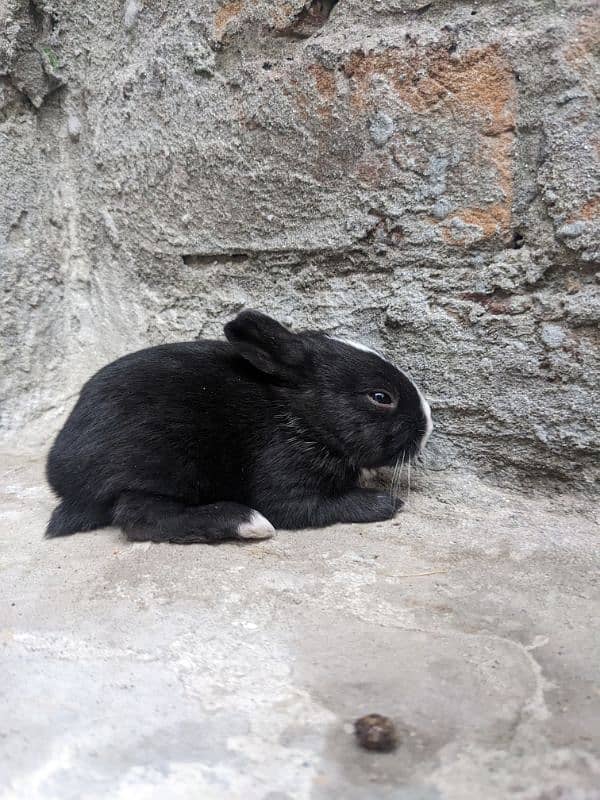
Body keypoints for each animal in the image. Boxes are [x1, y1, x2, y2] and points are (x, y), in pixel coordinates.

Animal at [45, 310, 432, 544]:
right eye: (380, 397)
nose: (428, 426)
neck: (301, 417)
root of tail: (64, 480)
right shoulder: (284, 483)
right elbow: (319, 506)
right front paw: (385, 503)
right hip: (162, 468)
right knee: (140, 517)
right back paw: (247, 522)